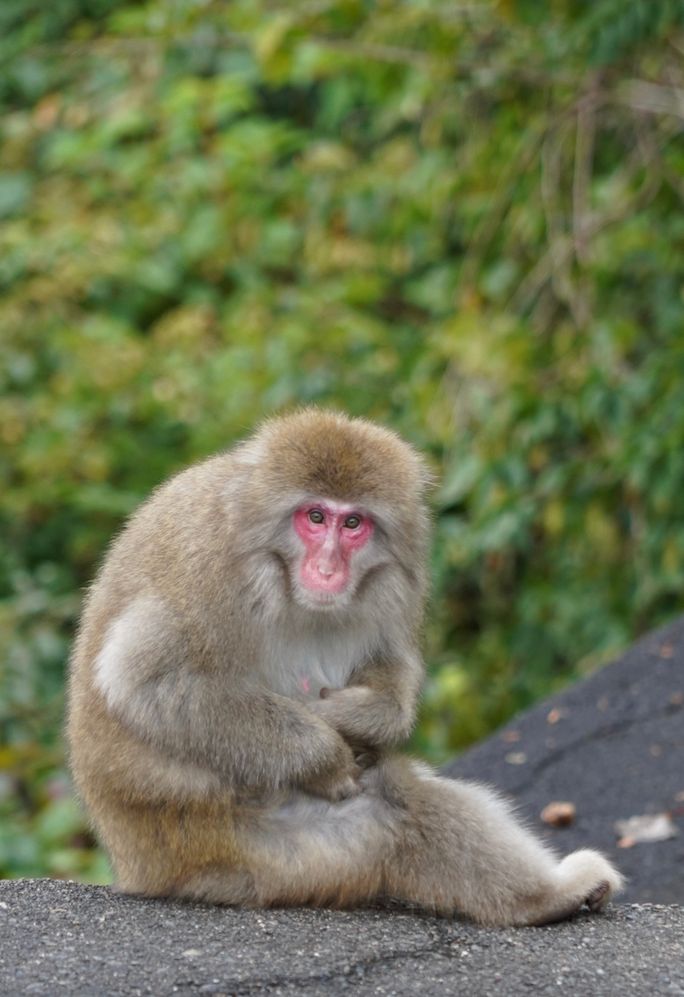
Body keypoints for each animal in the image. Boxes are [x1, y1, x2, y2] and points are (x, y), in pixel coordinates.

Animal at [65, 408, 624, 924]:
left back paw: (547, 897)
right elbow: (146, 681)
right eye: (315, 517)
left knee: (400, 802)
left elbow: (389, 663)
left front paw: (358, 717)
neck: (277, 571)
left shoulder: (397, 585)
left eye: (353, 523)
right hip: (223, 849)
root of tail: (137, 869)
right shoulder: (210, 570)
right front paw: (324, 753)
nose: (328, 567)